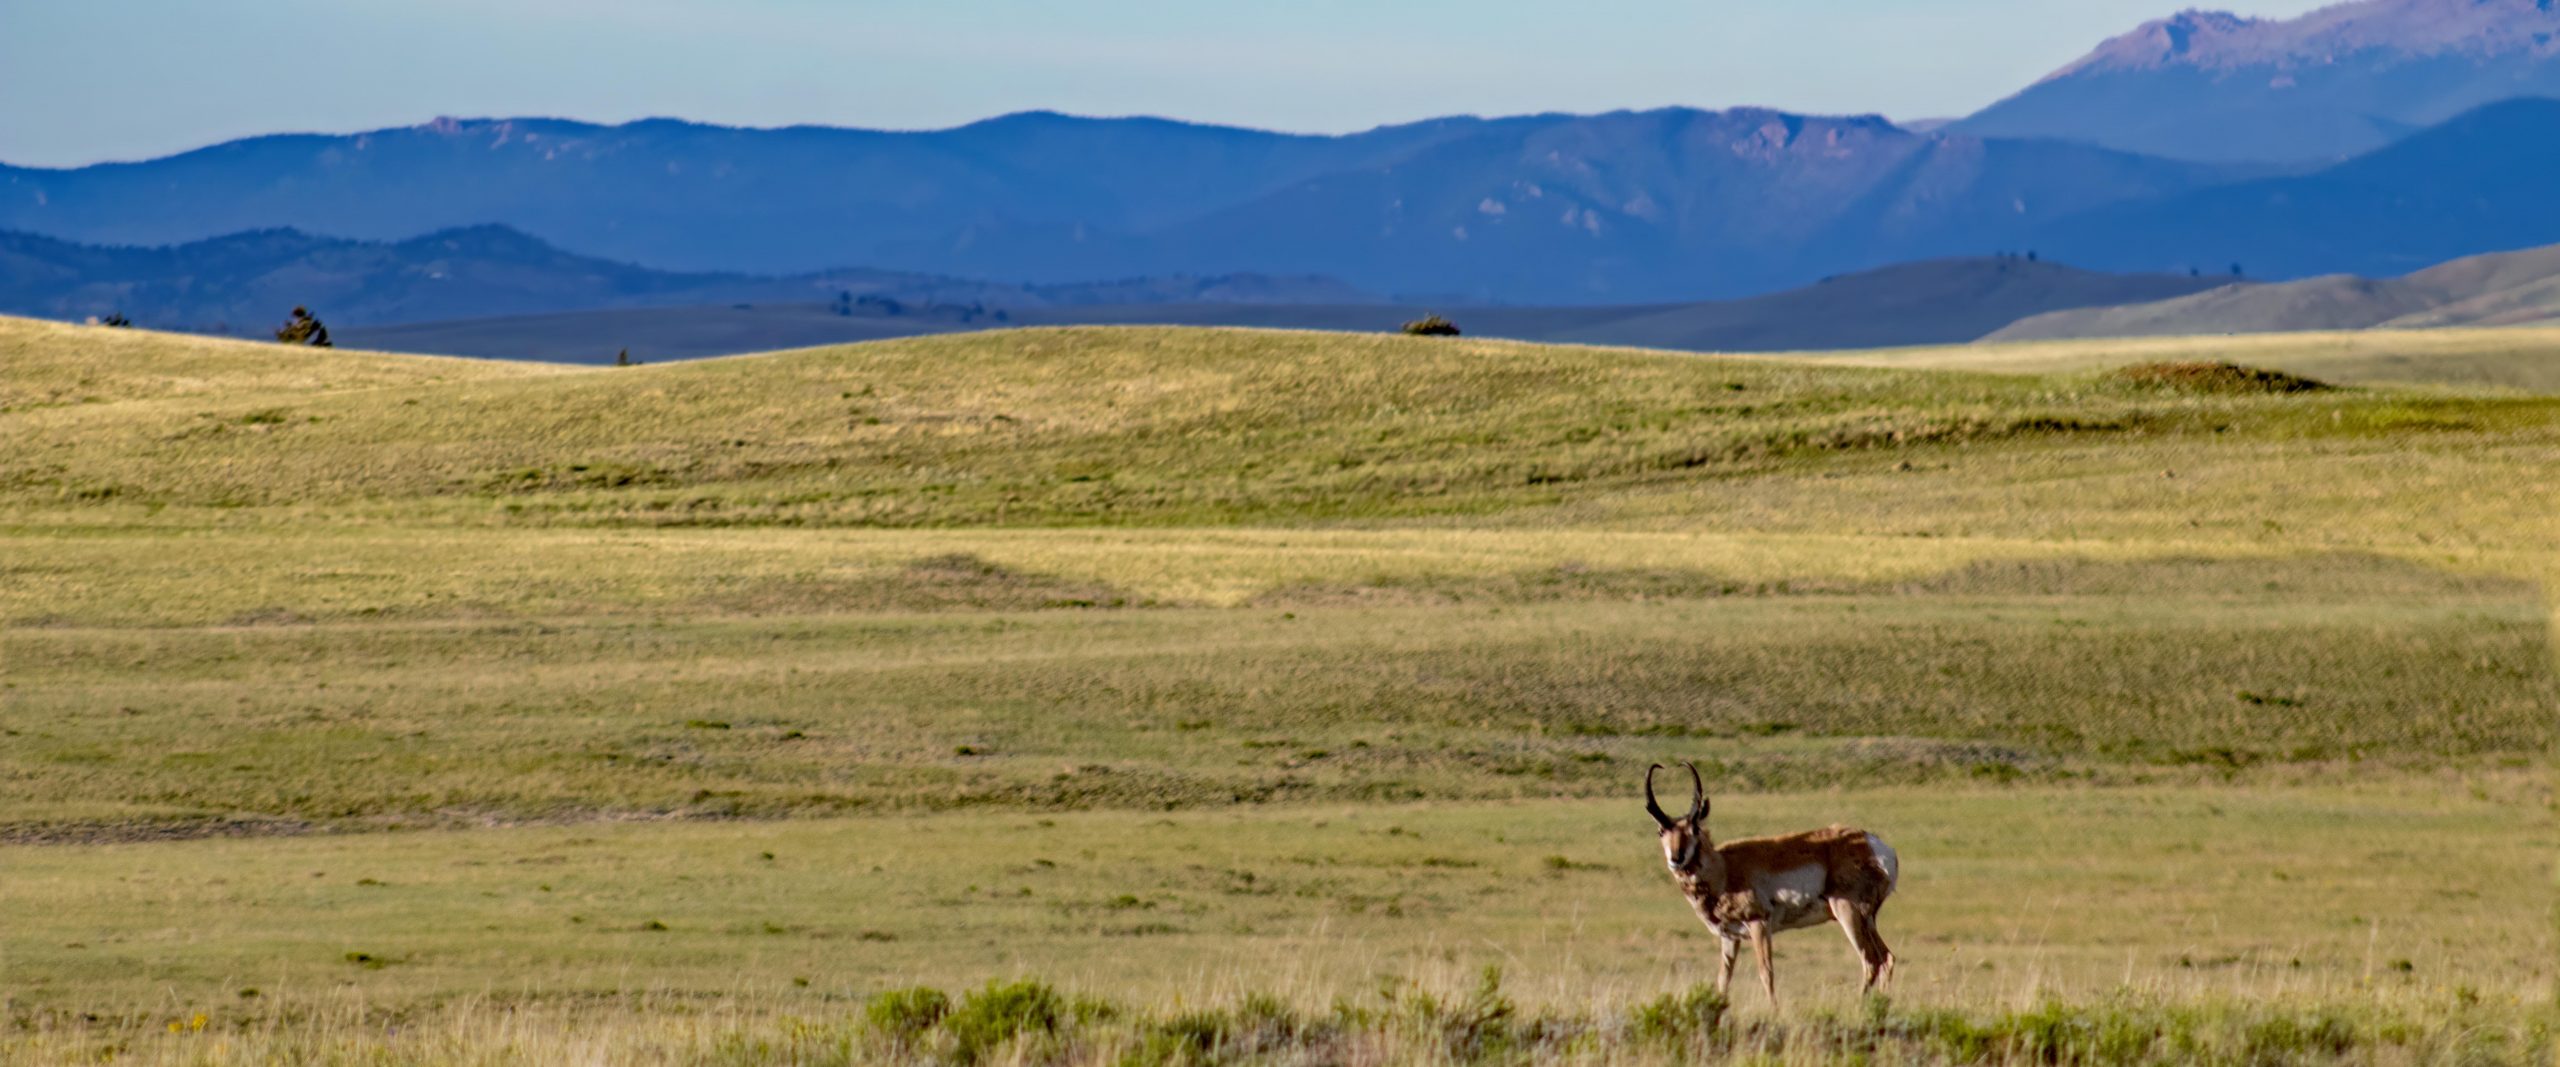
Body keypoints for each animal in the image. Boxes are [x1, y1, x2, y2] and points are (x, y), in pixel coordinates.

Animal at [1638, 762, 1904, 1003]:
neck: (1725, 869)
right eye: (1661, 831)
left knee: (1870, 960)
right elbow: (1723, 979)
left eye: (1695, 829)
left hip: (1847, 913)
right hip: (1868, 920)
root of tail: (1875, 846)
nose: (1677, 858)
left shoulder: (1759, 925)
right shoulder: (1730, 938)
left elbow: (1766, 972)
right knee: (1887, 958)